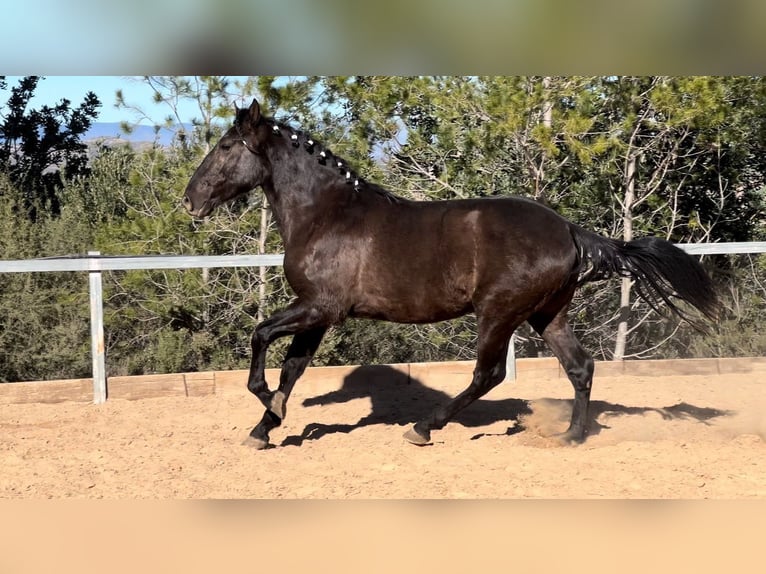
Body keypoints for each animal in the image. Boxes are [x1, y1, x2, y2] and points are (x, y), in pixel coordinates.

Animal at [183, 99, 724, 450]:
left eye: (228, 145)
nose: (190, 200)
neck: (327, 214)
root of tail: (569, 229)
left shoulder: (320, 307)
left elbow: (260, 337)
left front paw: (268, 408)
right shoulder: (316, 314)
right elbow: (292, 369)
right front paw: (264, 428)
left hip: (500, 312)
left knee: (488, 374)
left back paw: (424, 428)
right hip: (547, 314)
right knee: (580, 367)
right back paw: (570, 436)